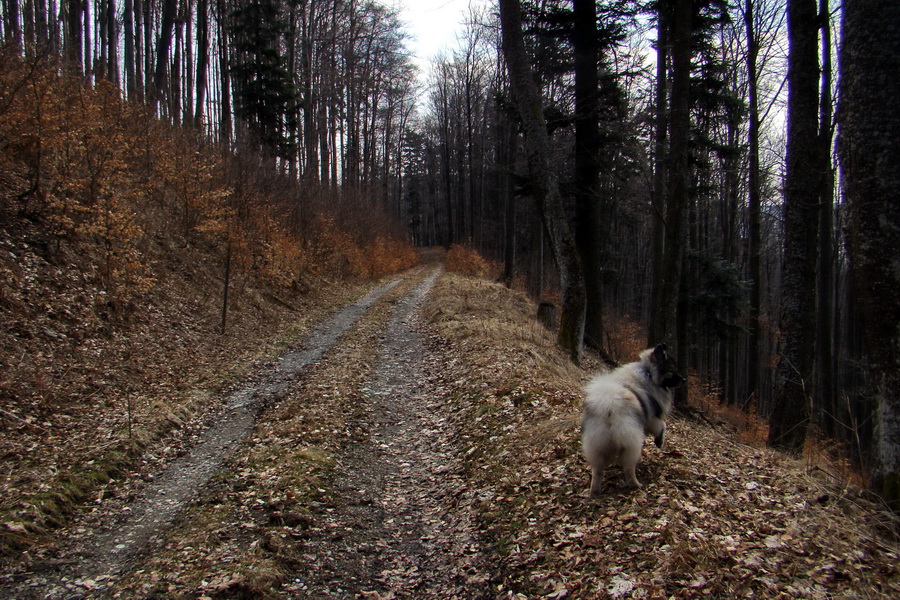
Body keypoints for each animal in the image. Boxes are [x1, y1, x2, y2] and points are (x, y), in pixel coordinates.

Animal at [584, 344, 684, 494]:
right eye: (671, 370)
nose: (684, 380)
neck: (649, 374)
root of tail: (609, 406)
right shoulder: (652, 418)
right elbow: (662, 426)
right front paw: (659, 441)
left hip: (596, 445)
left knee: (597, 471)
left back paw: (595, 490)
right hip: (631, 443)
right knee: (629, 468)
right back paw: (636, 485)